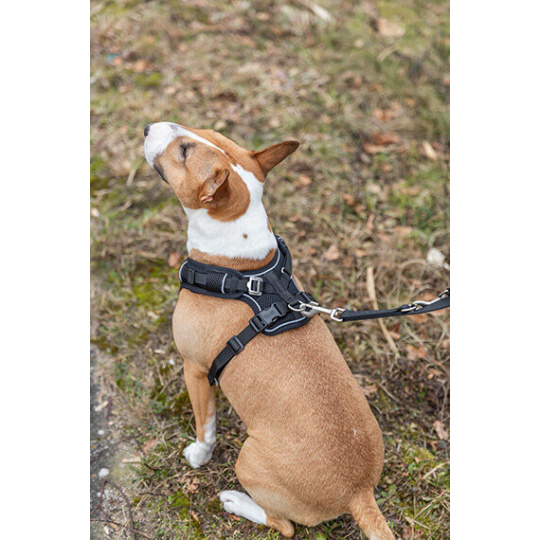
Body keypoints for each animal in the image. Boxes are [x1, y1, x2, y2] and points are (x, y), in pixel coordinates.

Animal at [144, 121, 395, 539]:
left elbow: (205, 424)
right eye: (200, 129)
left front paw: (199, 454)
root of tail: (359, 493)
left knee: (284, 525)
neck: (242, 267)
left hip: (249, 459)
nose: (149, 127)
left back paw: (235, 501)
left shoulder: (194, 368)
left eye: (183, 152)